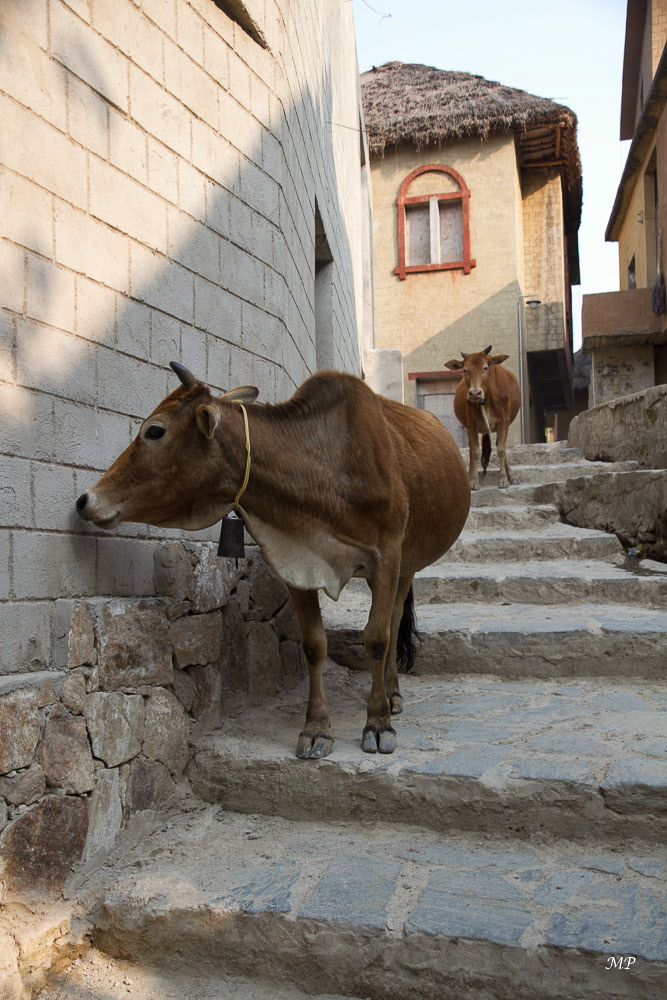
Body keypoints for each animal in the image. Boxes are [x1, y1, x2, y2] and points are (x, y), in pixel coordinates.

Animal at [76, 363, 470, 759]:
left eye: (155, 431)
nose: (84, 499)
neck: (327, 468)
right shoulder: (297, 563)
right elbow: (314, 645)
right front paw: (316, 729)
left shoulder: (388, 555)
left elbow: (376, 637)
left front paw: (377, 724)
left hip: (407, 563)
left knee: (394, 619)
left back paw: (391, 693)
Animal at [445, 345, 521, 490]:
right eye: (465, 369)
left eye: (485, 368)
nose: (475, 393)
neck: (487, 399)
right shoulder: (471, 424)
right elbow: (475, 452)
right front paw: (474, 481)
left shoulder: (504, 422)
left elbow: (501, 450)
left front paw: (503, 479)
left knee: (499, 446)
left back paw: (512, 477)